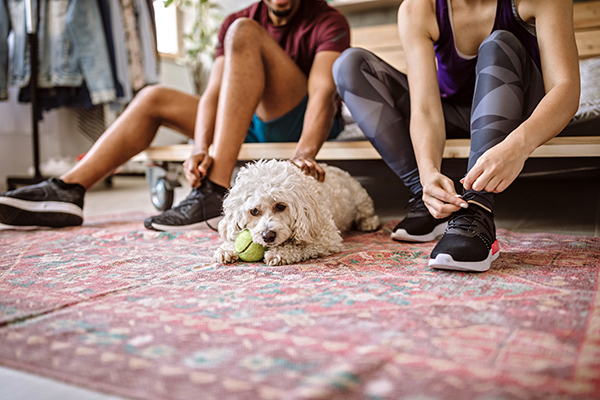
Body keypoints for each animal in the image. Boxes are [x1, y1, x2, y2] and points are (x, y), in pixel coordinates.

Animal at [214, 159, 380, 266]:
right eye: (254, 211)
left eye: (281, 206)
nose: (268, 236)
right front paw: (227, 249)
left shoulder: (327, 237)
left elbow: (302, 246)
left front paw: (280, 253)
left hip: (360, 199)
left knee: (366, 213)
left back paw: (369, 223)